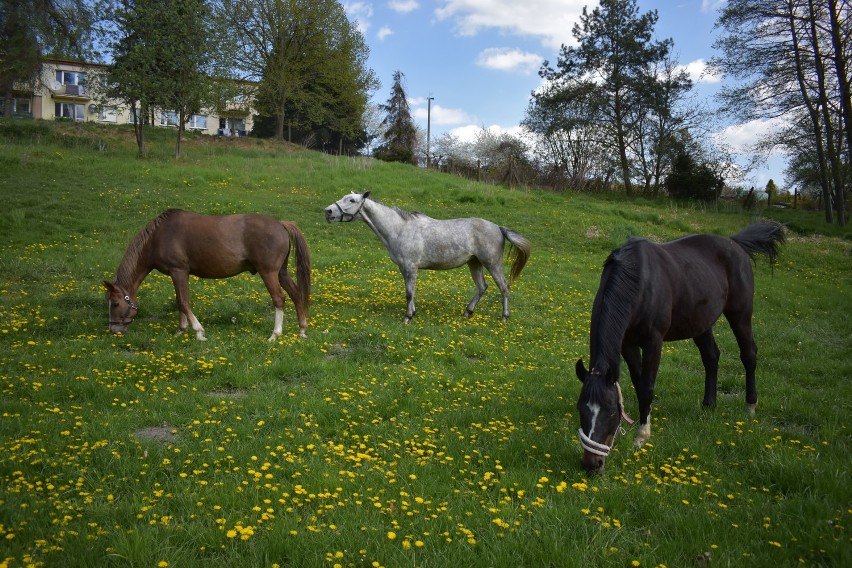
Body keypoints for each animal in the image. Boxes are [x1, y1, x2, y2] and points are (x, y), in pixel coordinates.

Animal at [103, 210, 310, 340]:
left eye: (115, 303)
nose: (113, 330)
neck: (159, 237)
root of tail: (281, 225)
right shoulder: (177, 274)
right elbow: (180, 301)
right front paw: (181, 331)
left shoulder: (179, 271)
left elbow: (183, 302)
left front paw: (199, 332)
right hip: (281, 273)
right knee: (296, 294)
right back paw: (301, 330)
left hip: (268, 273)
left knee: (279, 299)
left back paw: (275, 335)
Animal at [322, 192, 528, 322]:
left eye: (352, 200)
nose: (328, 211)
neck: (399, 229)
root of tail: (498, 228)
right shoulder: (404, 268)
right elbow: (410, 292)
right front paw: (412, 313)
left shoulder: (410, 267)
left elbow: (409, 292)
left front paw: (407, 317)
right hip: (474, 263)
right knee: (482, 287)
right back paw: (467, 313)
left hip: (492, 263)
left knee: (503, 287)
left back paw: (504, 317)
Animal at [576, 222, 784, 474]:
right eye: (581, 409)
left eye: (611, 410)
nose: (592, 464)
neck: (639, 282)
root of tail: (735, 243)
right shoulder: (627, 345)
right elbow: (638, 382)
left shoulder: (653, 342)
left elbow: (646, 388)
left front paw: (642, 436)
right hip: (701, 323)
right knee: (711, 357)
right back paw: (709, 405)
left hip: (740, 314)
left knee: (749, 355)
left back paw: (750, 406)